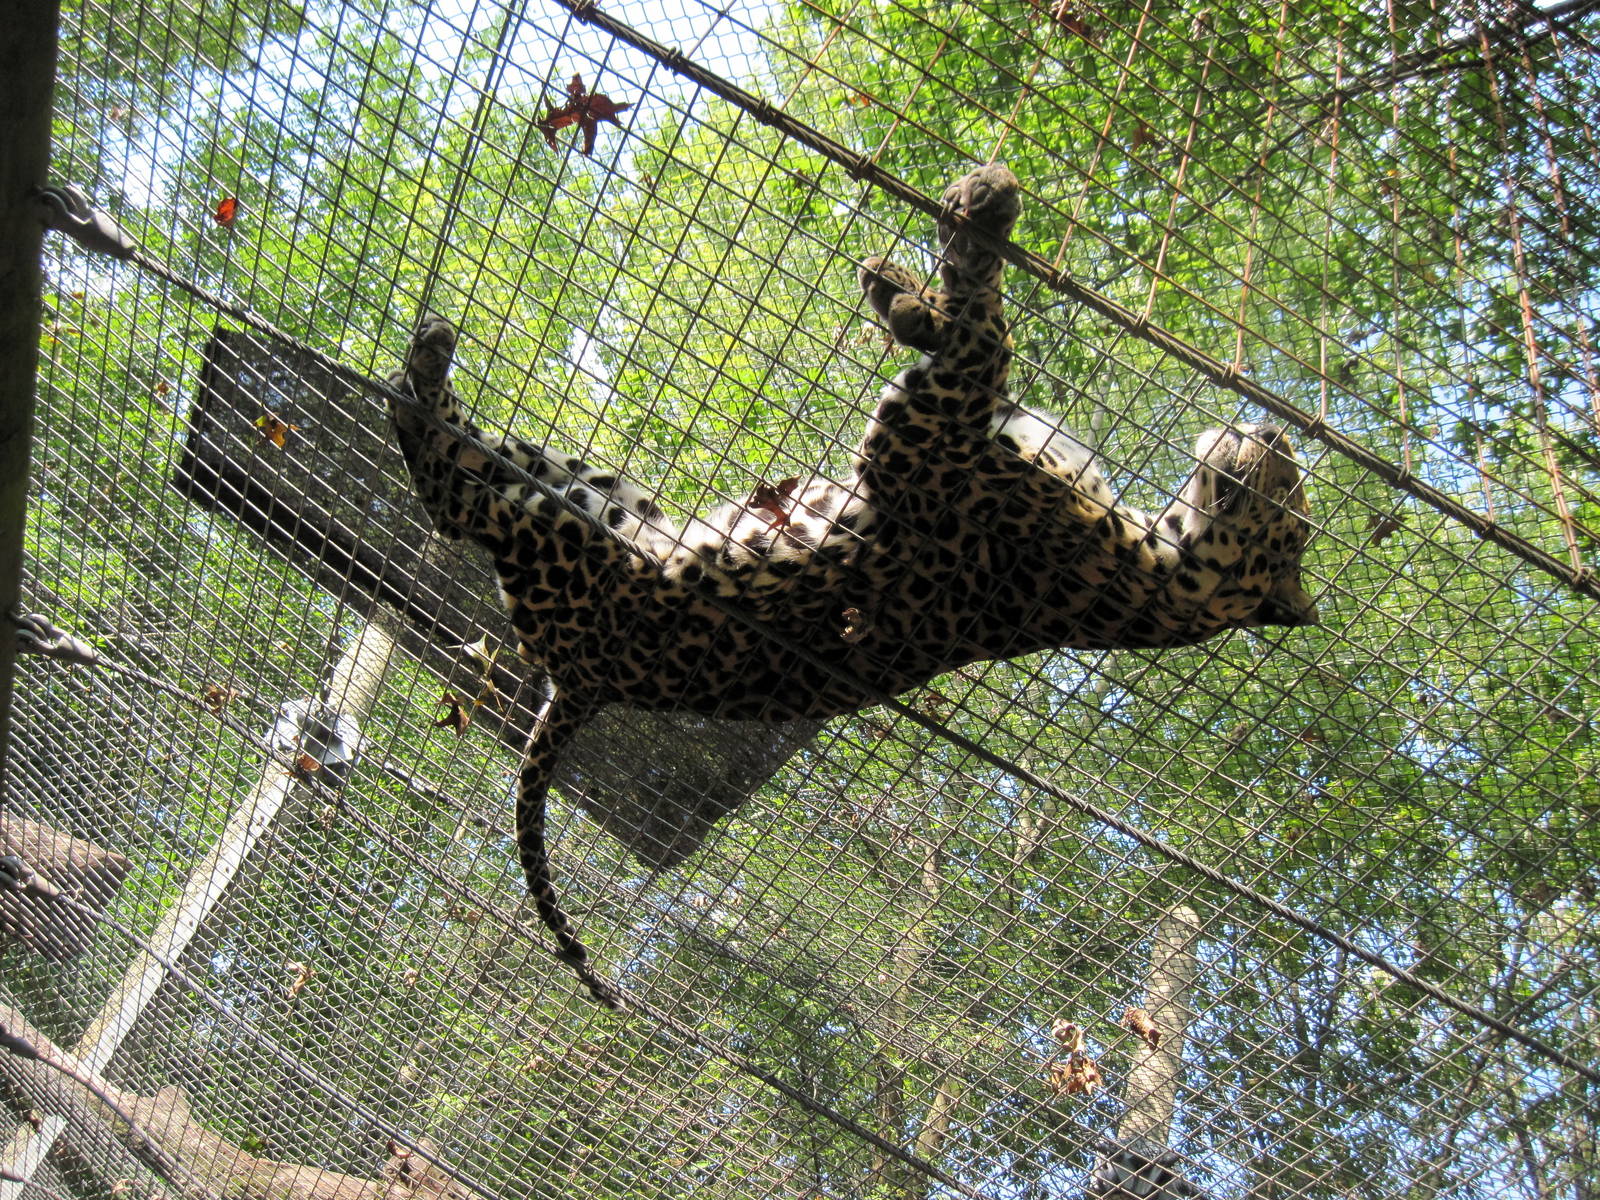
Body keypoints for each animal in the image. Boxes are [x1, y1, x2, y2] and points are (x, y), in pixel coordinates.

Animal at [386, 163, 1316, 1008]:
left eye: (1293, 507)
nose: (1277, 434)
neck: (1154, 562)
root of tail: (586, 681)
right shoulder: (956, 415)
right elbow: (983, 341)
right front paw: (905, 290)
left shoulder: (928, 432)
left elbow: (990, 334)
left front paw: (980, 218)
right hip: (603, 494)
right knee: (470, 450)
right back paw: (428, 360)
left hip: (560, 531)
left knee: (452, 500)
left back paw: (427, 376)